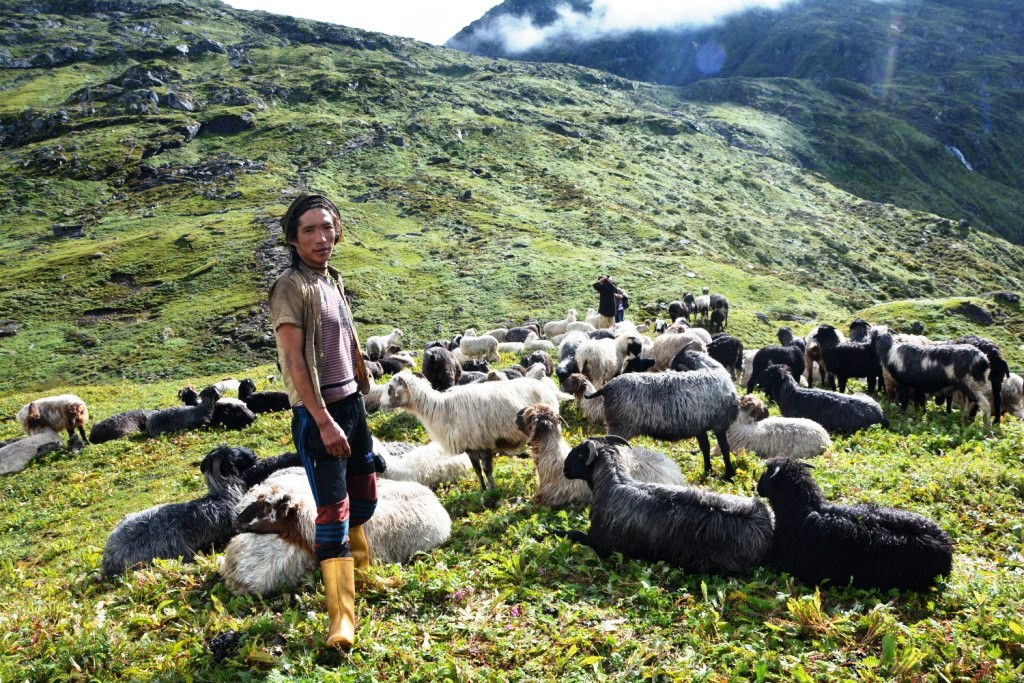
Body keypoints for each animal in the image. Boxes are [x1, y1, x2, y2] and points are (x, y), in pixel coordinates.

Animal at [381, 371, 569, 490]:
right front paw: (482, 490)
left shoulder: (484, 443)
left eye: (390, 388)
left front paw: (493, 491)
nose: (381, 405)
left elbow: (487, 470)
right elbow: (477, 470)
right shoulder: (470, 447)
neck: (440, 409)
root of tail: (550, 390)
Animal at [558, 436, 773, 574]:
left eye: (579, 454)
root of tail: (766, 522)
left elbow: (574, 533)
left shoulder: (602, 545)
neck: (612, 484)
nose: (565, 469)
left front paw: (555, 532)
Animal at [587, 351, 739, 477]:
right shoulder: (720, 425)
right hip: (620, 427)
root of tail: (606, 387)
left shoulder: (701, 426)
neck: (713, 368)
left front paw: (708, 471)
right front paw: (729, 475)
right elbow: (725, 449)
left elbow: (706, 448)